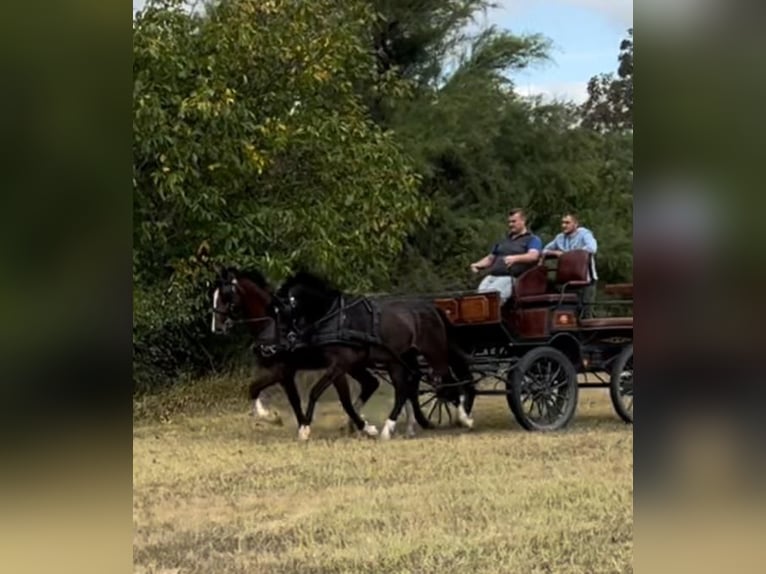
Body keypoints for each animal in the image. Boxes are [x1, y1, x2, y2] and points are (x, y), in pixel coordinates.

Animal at [276, 270, 480, 440]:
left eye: (287, 305)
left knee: (447, 383)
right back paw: (394, 428)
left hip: (434, 352)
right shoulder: (345, 365)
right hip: (400, 359)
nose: (288, 337)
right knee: (406, 388)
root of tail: (431, 307)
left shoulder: (341, 364)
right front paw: (362, 426)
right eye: (276, 310)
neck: (337, 317)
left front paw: (304, 429)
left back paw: (464, 418)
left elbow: (316, 392)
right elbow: (349, 398)